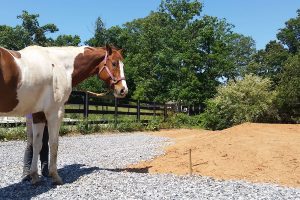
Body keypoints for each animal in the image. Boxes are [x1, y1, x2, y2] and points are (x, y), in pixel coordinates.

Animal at [0, 44, 127, 184]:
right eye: (114, 63)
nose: (123, 90)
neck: (59, 65)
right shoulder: (55, 113)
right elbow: (54, 144)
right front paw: (55, 176)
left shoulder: (38, 113)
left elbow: (38, 144)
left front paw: (35, 176)